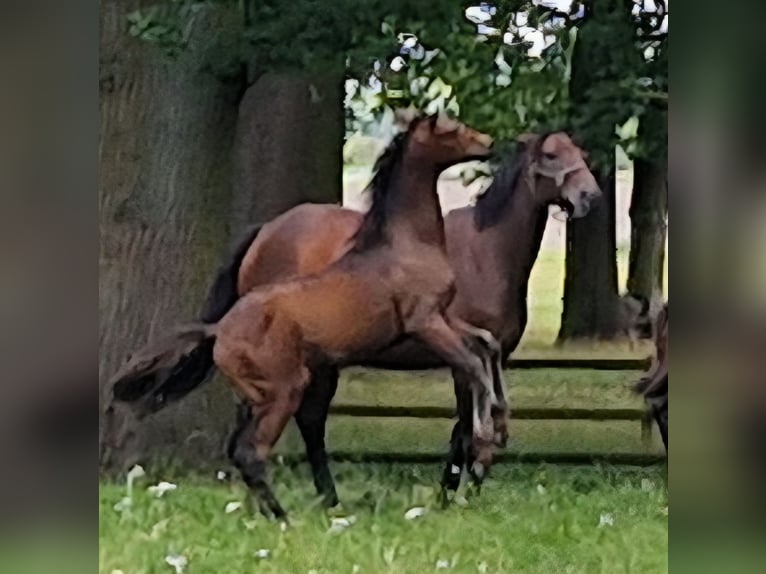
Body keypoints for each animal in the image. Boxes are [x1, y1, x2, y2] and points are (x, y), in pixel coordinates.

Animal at [107, 112, 502, 518]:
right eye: (451, 128)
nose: (489, 143)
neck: (404, 244)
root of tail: (217, 330)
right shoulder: (425, 323)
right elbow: (472, 363)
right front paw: (486, 437)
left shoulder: (444, 317)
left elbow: (487, 344)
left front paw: (496, 426)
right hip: (285, 390)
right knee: (253, 451)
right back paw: (285, 518)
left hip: (258, 397)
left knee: (239, 449)